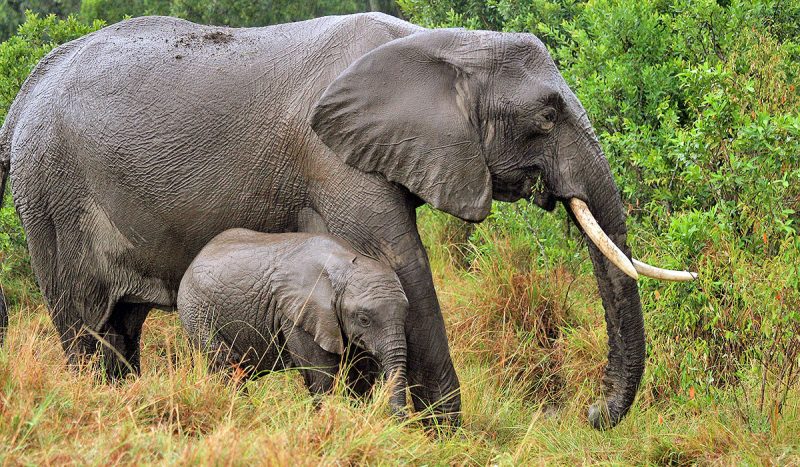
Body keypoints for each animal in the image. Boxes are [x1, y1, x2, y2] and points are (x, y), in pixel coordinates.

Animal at [177, 228, 408, 415]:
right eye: (364, 319)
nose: (402, 424)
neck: (345, 261)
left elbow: (358, 375)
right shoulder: (298, 315)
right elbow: (321, 375)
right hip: (196, 310)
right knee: (226, 364)